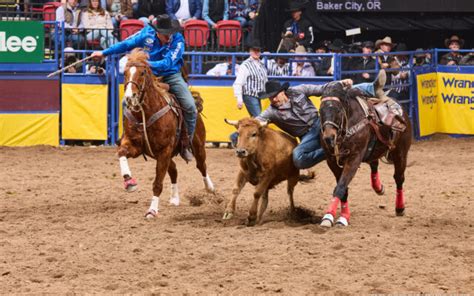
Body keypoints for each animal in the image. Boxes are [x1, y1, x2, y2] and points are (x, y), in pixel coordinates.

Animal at [118, 49, 215, 220]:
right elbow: (121, 152)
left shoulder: (164, 150)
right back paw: (174, 198)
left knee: (201, 165)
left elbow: (157, 184)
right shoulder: (135, 145)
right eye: (125, 73)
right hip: (162, 154)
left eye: (142, 72)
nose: (130, 98)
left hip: (197, 147)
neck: (145, 113)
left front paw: (151, 211)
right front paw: (129, 182)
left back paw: (210, 187)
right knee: (174, 170)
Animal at [318, 80, 412, 227]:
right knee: (374, 164)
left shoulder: (354, 158)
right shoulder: (332, 161)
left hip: (401, 153)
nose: (328, 137)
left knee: (399, 178)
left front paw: (334, 217)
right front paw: (338, 216)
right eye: (320, 110)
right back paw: (378, 187)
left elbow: (341, 186)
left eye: (338, 110)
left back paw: (400, 208)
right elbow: (342, 189)